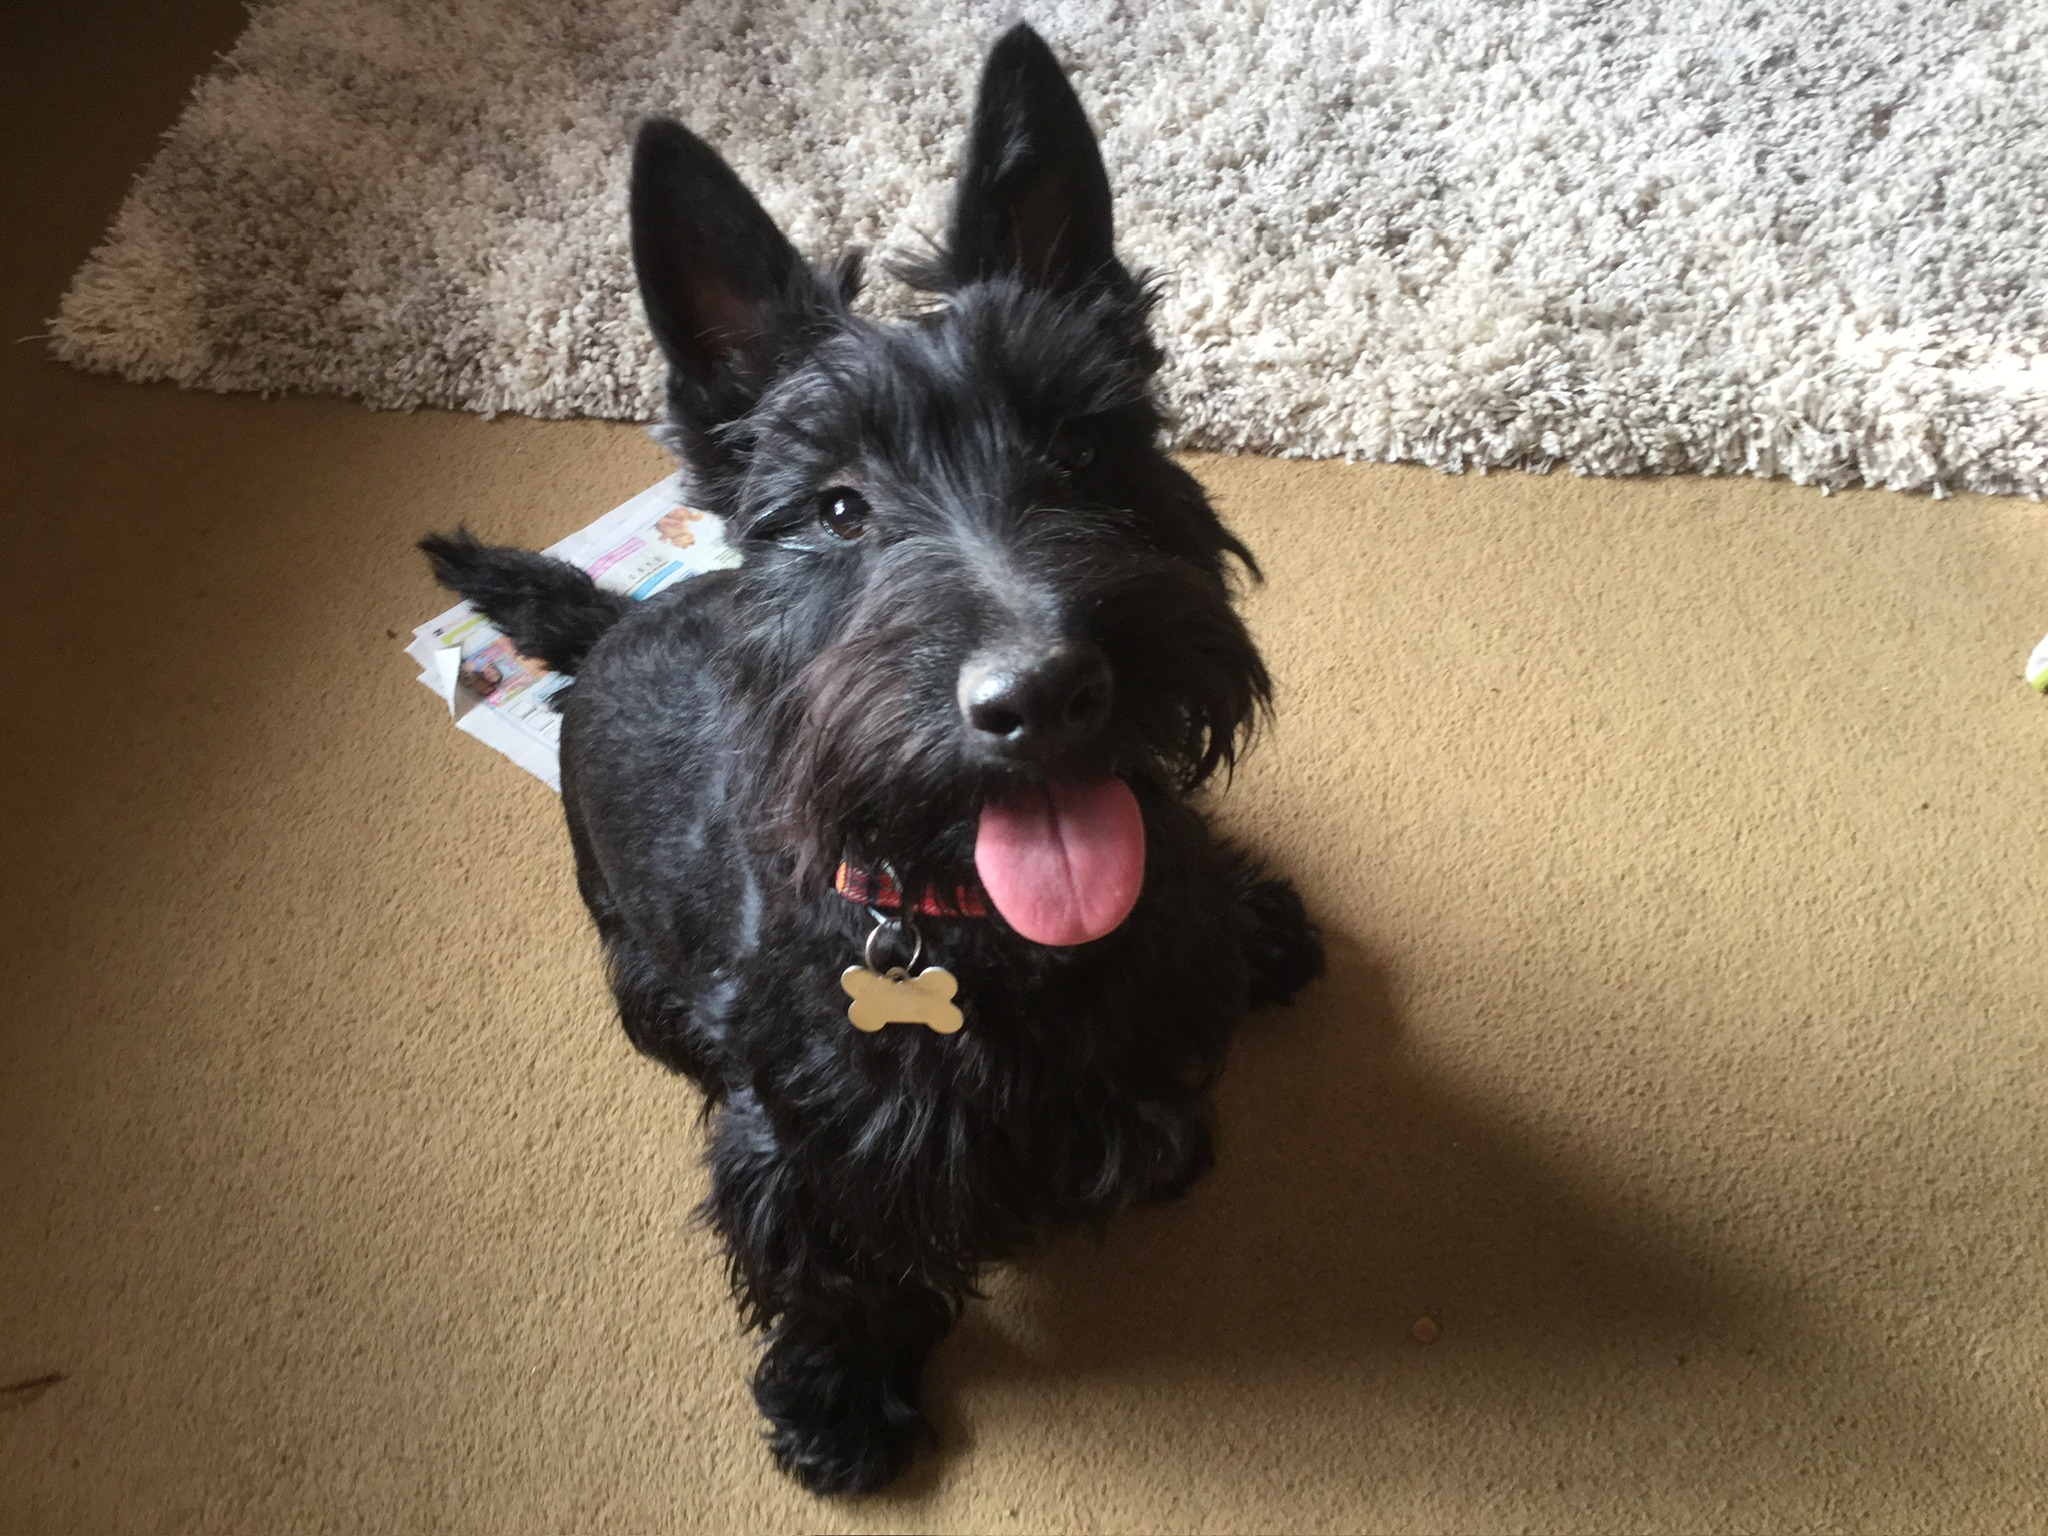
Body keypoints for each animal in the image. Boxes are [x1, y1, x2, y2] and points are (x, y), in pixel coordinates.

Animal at [421, 23, 1324, 1495]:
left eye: (1077, 446)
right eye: (839, 508)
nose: (1043, 693)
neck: (989, 938)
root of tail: (611, 627)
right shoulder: (799, 1136)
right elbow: (838, 1263)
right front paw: (839, 1393)